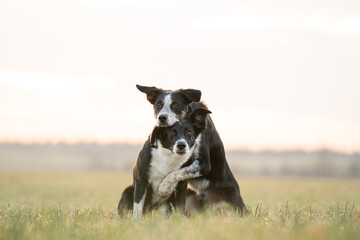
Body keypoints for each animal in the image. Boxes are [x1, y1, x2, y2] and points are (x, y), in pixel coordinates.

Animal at [136, 85, 248, 215]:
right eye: (158, 104)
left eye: (175, 105)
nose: (162, 117)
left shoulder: (203, 163)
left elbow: (177, 172)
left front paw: (164, 188)